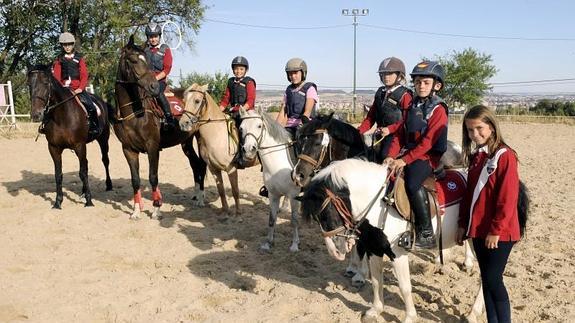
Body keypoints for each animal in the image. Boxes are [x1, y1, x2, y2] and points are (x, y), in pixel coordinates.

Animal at [28, 64, 113, 209]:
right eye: (29, 84)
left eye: (46, 83)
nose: (36, 115)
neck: (62, 117)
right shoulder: (54, 148)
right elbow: (58, 174)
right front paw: (57, 202)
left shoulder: (79, 145)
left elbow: (82, 172)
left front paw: (89, 201)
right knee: (86, 164)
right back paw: (83, 191)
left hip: (103, 139)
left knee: (104, 160)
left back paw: (108, 185)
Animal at [113, 36, 207, 220]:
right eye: (133, 60)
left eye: (147, 62)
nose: (154, 87)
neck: (135, 113)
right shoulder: (128, 149)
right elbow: (135, 180)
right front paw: (136, 211)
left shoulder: (152, 147)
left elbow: (153, 177)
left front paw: (156, 208)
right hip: (186, 142)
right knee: (195, 164)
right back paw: (196, 196)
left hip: (200, 139)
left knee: (202, 164)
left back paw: (201, 199)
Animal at [237, 107, 302, 252]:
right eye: (241, 128)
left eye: (259, 126)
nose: (248, 150)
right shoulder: (273, 195)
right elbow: (271, 219)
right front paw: (268, 243)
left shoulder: (294, 195)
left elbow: (294, 220)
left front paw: (295, 245)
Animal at [302, 160, 532, 323]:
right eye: (317, 218)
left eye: (326, 215)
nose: (335, 252)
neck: (380, 203)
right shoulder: (375, 249)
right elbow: (376, 281)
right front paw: (375, 311)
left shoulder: (397, 253)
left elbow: (405, 287)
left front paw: (409, 317)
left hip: (482, 245)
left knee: (488, 279)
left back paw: (473, 313)